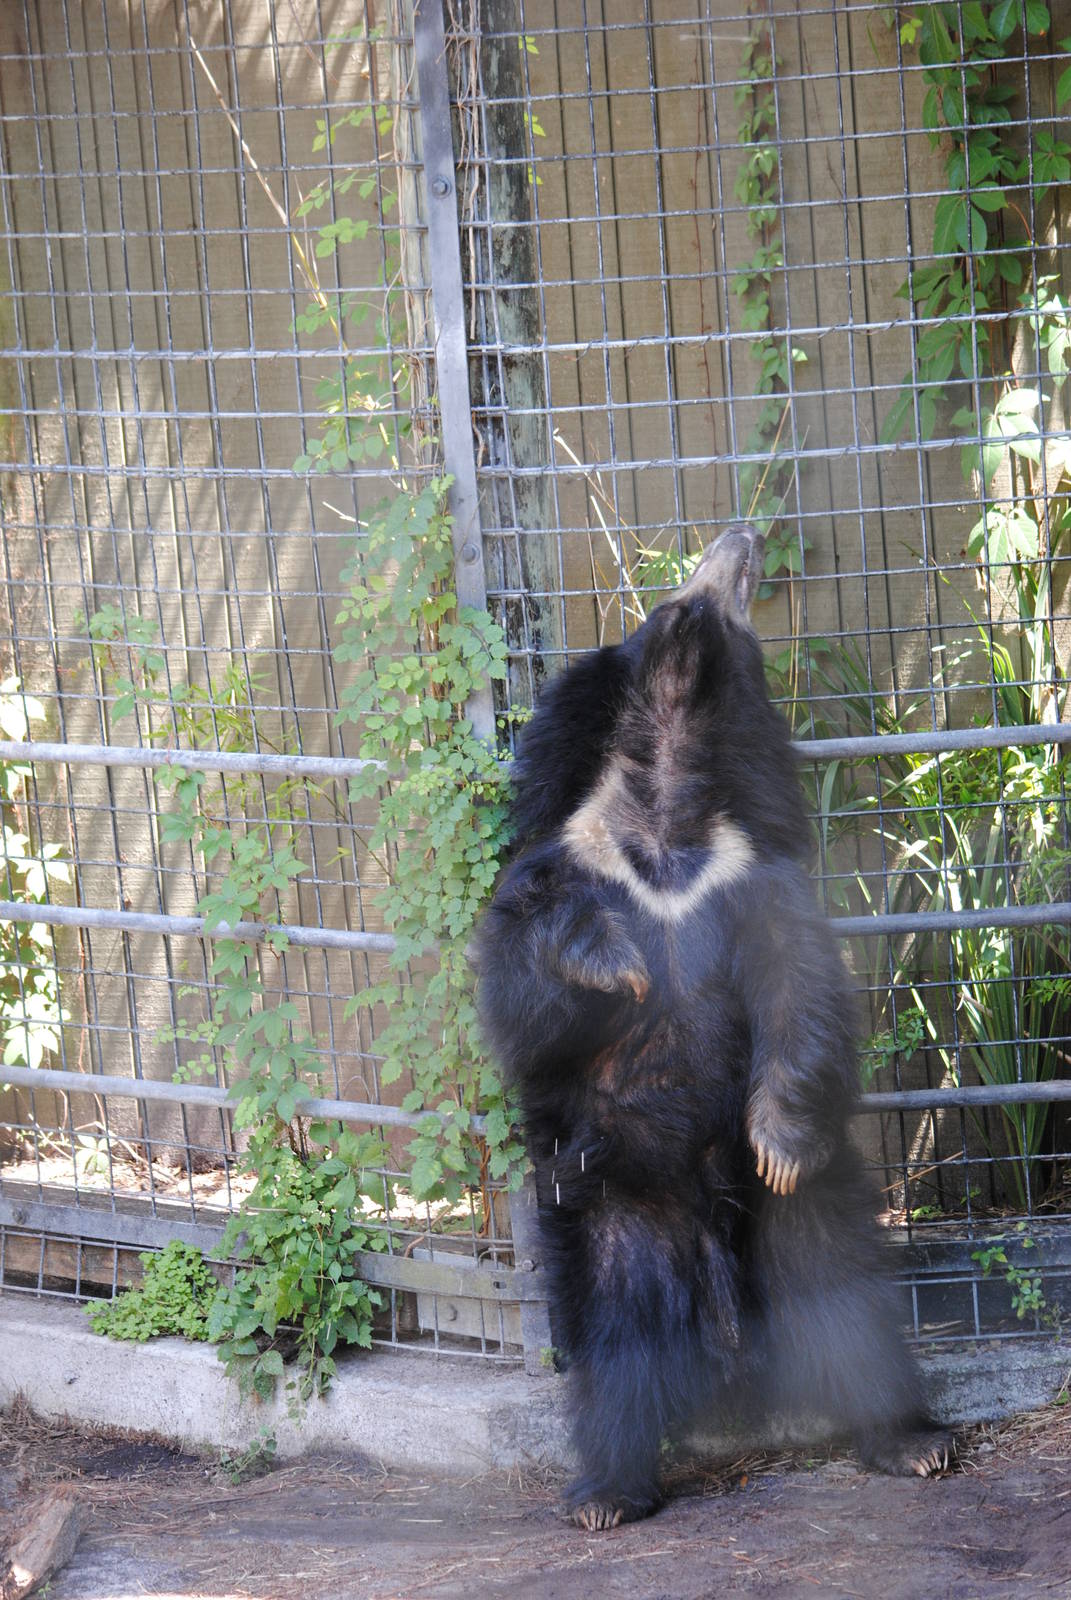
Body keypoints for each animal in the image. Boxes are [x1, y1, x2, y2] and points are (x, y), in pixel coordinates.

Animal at [474, 522, 951, 1530]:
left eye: (725, 598)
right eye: (670, 600)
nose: (741, 537)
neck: (664, 814)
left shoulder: (753, 873)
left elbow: (799, 993)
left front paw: (780, 1137)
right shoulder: (555, 864)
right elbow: (522, 995)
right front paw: (609, 960)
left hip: (791, 1221)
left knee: (841, 1300)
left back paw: (910, 1440)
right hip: (609, 1213)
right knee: (617, 1346)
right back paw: (606, 1492)